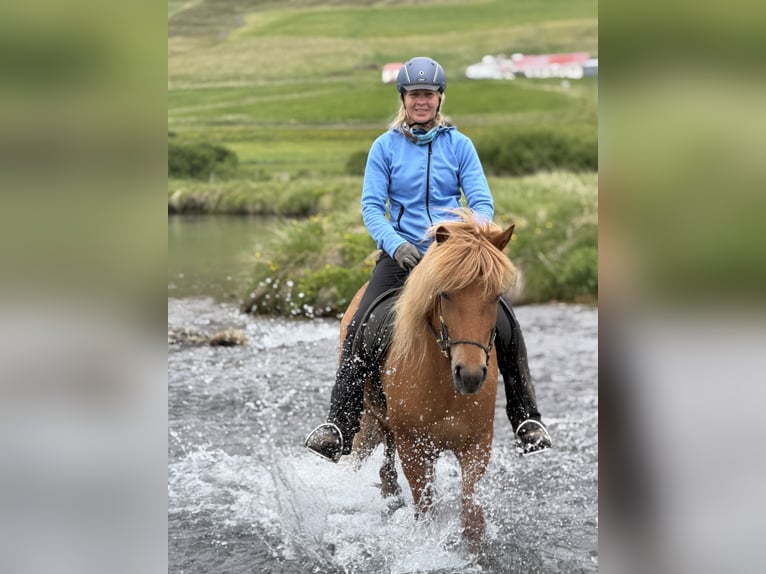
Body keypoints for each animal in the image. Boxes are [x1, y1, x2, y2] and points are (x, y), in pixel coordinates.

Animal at [340, 214, 517, 550]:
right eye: (445, 293)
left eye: (495, 296)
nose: (470, 375)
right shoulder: (414, 448)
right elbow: (425, 511)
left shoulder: (476, 446)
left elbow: (471, 516)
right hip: (375, 415)